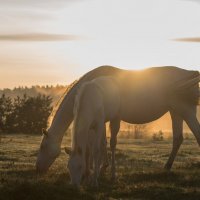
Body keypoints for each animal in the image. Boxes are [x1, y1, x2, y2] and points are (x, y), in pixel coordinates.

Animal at [36, 65, 200, 175]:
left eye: (43, 146)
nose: (38, 169)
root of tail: (190, 74)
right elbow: (99, 143)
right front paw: (98, 167)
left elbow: (100, 143)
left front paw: (100, 167)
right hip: (176, 112)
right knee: (178, 139)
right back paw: (167, 166)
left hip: (186, 110)